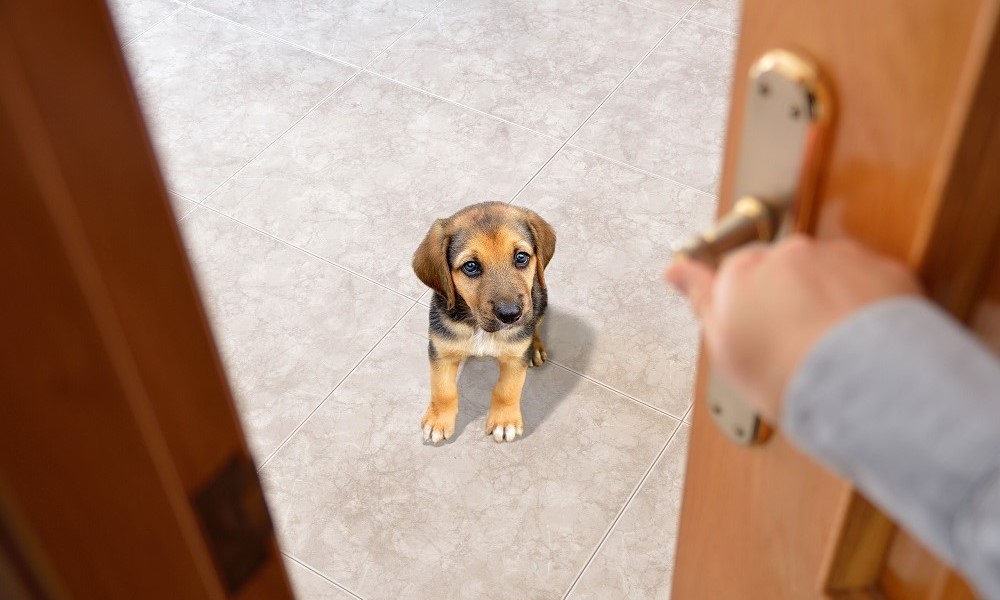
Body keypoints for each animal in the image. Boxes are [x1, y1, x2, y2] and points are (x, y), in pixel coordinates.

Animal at [412, 202, 556, 440]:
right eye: (470, 266)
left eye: (521, 257)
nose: (510, 315)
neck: (478, 326)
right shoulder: (441, 351)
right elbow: (442, 389)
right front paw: (438, 420)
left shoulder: (515, 356)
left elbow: (507, 389)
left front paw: (504, 421)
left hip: (540, 299)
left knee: (536, 325)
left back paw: (535, 348)